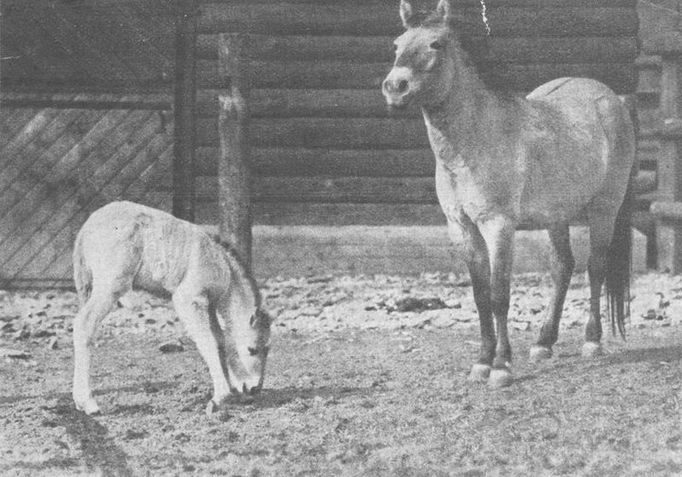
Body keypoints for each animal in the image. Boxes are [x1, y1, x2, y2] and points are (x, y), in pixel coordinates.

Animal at [380, 0, 636, 386]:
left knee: (595, 268)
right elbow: (481, 296)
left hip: (604, 209)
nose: (395, 87)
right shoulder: (462, 228)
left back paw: (592, 341)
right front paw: (482, 362)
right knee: (563, 267)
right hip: (556, 216)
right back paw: (544, 343)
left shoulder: (498, 225)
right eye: (397, 44)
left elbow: (500, 295)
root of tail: (611, 99)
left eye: (437, 44)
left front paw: (501, 366)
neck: (475, 139)